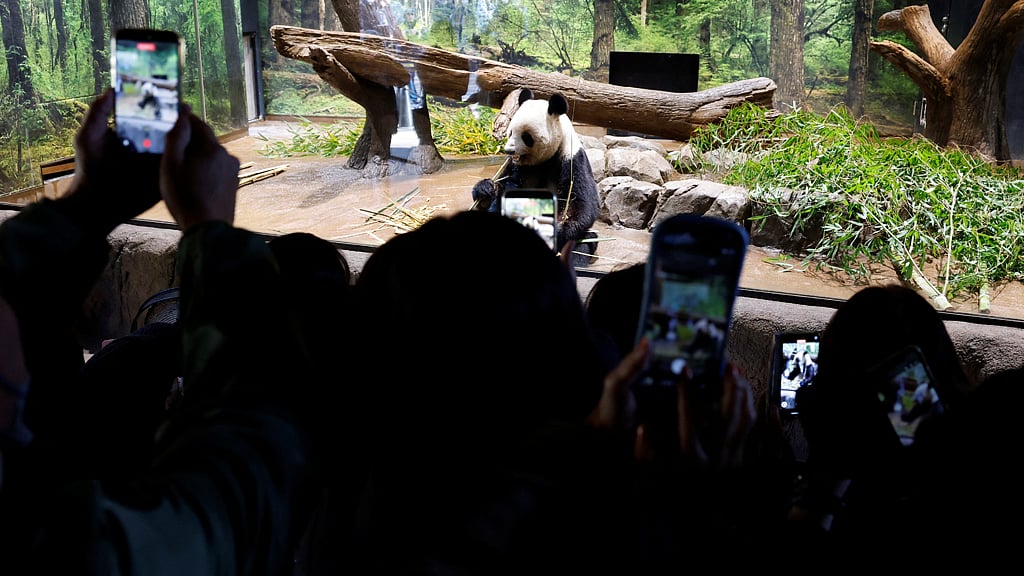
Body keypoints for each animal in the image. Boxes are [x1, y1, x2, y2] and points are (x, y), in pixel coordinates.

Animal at [471, 88, 600, 260]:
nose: (508, 150)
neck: (545, 160)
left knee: (583, 243)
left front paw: (554, 230)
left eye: (526, 136)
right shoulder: (517, 168)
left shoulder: (572, 161)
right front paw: (486, 189)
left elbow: (580, 204)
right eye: (510, 132)